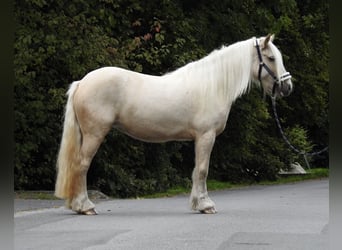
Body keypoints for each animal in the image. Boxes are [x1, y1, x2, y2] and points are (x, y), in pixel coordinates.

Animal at [54, 34, 292, 215]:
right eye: (271, 58)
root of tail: (82, 82)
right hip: (94, 134)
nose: (287, 87)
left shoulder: (199, 138)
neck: (212, 85)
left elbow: (196, 170)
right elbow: (203, 170)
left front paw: (198, 204)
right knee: (81, 165)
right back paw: (85, 207)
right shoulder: (206, 135)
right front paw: (206, 205)